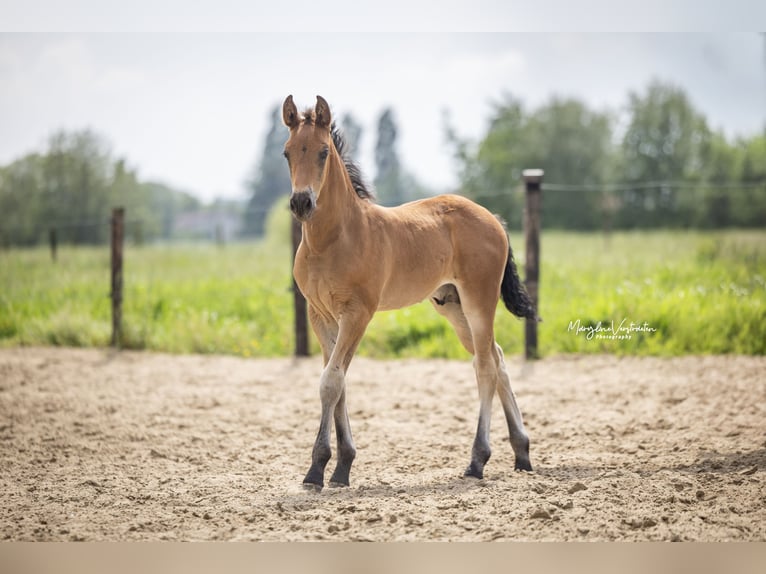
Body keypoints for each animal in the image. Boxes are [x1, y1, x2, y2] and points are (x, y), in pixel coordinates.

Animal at [280, 94, 536, 490]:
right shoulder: (320, 314)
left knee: (485, 367)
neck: (335, 239)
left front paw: (318, 469)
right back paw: (521, 453)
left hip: (479, 301)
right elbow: (337, 383)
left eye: (323, 152)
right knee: (498, 358)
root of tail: (492, 218)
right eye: (287, 152)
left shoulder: (358, 313)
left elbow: (331, 382)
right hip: (451, 305)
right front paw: (341, 466)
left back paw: (477, 461)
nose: (301, 203)